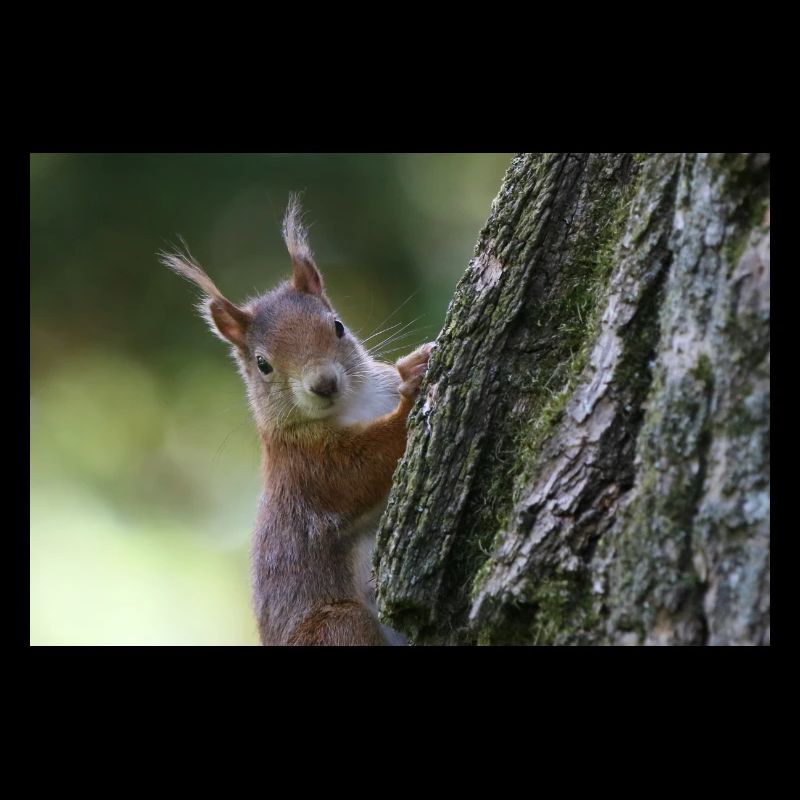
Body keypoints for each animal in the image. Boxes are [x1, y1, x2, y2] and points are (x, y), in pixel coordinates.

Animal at [161, 196, 433, 645]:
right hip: (338, 626)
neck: (356, 403)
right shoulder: (306, 467)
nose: (323, 383)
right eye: (263, 364)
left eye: (338, 326)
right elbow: (361, 471)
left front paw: (414, 362)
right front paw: (413, 385)